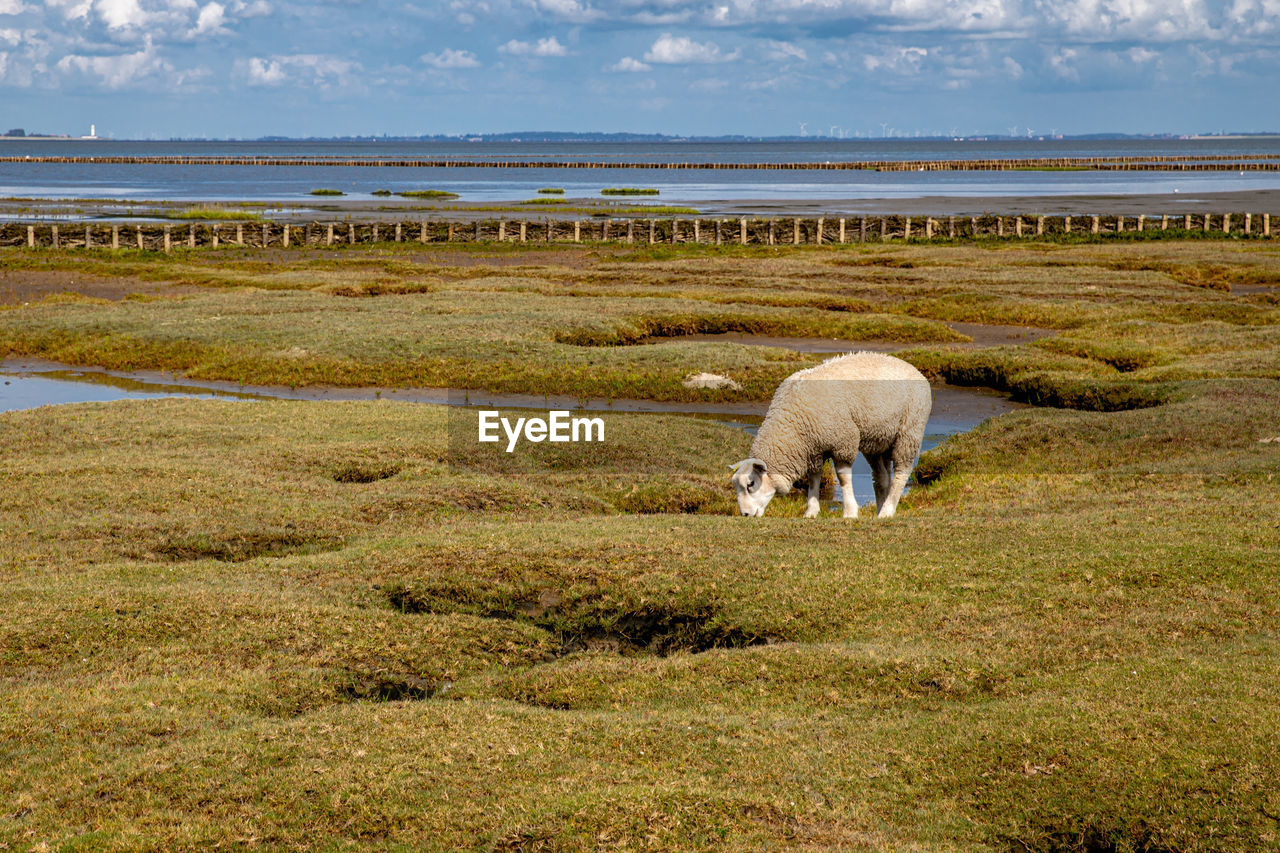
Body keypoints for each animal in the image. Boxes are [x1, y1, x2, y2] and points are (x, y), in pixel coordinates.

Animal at [732, 348, 931, 514]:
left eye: (751, 484)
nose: (745, 514)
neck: (792, 424)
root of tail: (914, 369)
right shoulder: (813, 448)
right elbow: (814, 478)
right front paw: (811, 512)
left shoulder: (843, 441)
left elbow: (842, 478)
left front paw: (850, 512)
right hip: (878, 439)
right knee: (881, 477)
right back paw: (879, 511)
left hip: (909, 431)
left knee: (901, 472)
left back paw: (887, 511)